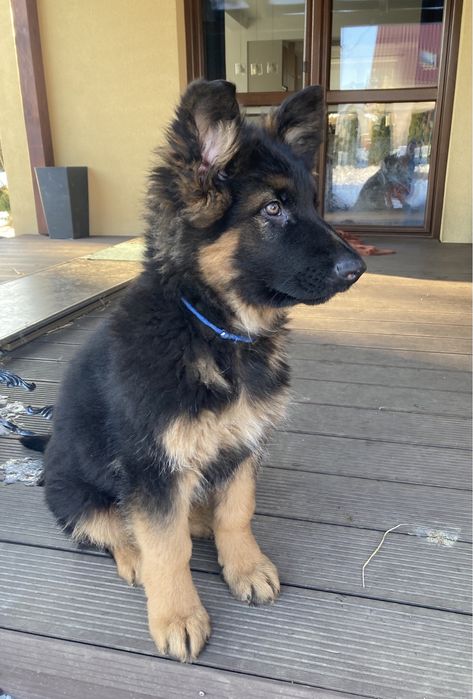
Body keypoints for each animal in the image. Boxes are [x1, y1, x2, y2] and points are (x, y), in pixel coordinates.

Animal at [21, 80, 365, 662]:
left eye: (312, 205)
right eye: (273, 208)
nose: (358, 269)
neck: (213, 330)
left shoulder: (245, 442)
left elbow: (237, 511)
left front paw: (244, 565)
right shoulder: (152, 468)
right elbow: (166, 547)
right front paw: (178, 614)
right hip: (77, 493)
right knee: (109, 528)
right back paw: (133, 556)